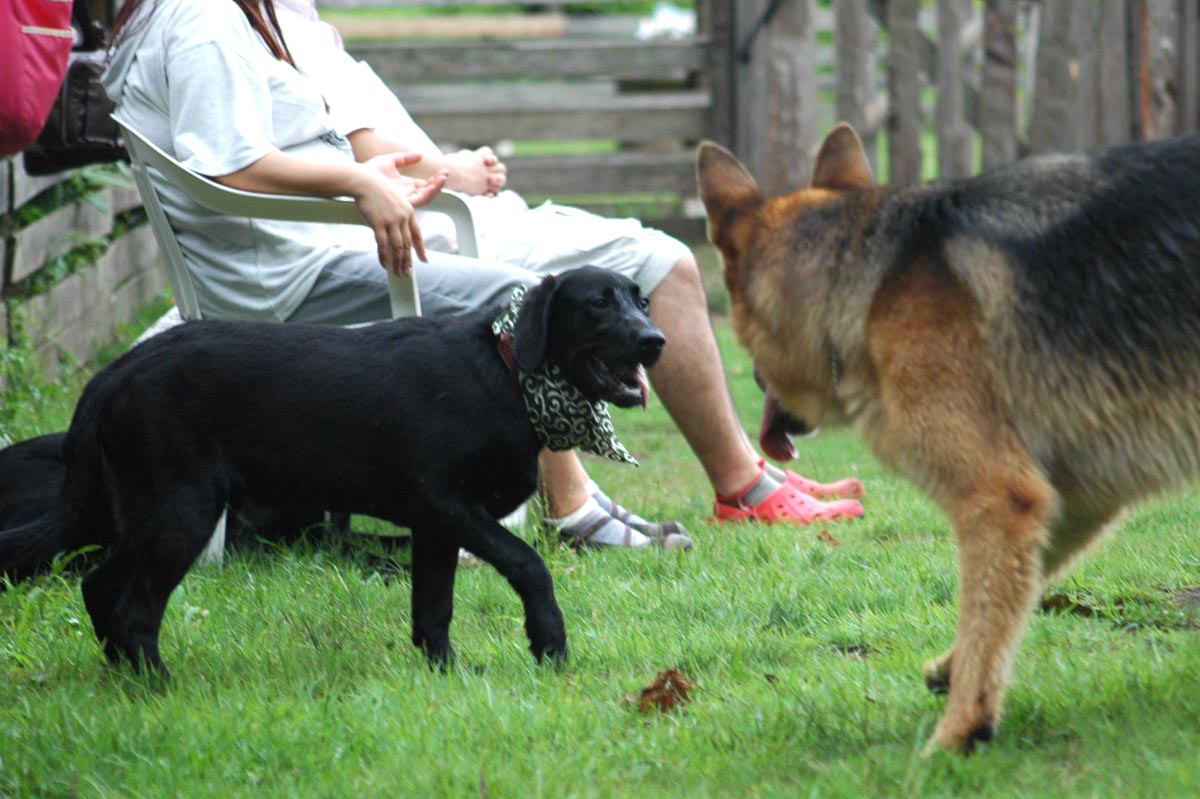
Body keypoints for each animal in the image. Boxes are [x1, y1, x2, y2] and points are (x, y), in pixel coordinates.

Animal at [0, 266, 667, 671]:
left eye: (641, 301)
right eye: (597, 304)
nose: (655, 340)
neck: (509, 374)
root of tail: (116, 371)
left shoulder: (433, 528)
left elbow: (432, 611)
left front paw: (447, 675)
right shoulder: (447, 505)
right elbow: (529, 564)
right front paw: (548, 642)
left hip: (138, 516)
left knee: (97, 586)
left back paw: (126, 678)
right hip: (180, 513)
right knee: (133, 608)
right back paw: (159, 685)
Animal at [700, 124, 1200, 753]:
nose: (756, 383)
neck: (859, 275)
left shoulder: (998, 498)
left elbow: (985, 614)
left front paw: (956, 735)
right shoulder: (1072, 499)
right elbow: (1003, 600)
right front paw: (951, 667)